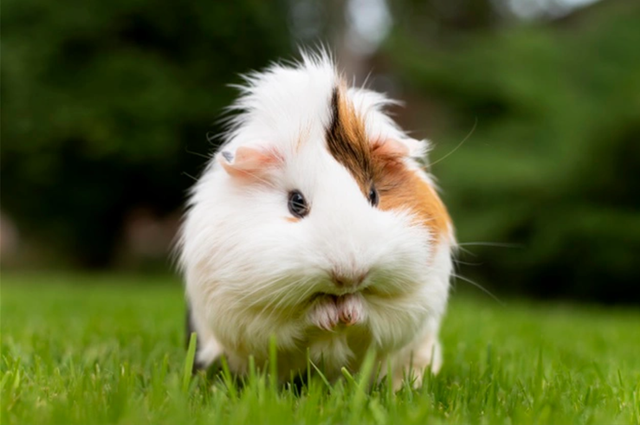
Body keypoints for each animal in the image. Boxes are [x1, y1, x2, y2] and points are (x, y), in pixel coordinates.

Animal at [178, 52, 454, 389]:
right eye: (296, 202)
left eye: (373, 195)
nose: (349, 274)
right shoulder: (246, 316)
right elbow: (290, 322)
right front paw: (330, 315)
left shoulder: (414, 303)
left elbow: (378, 314)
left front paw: (348, 312)